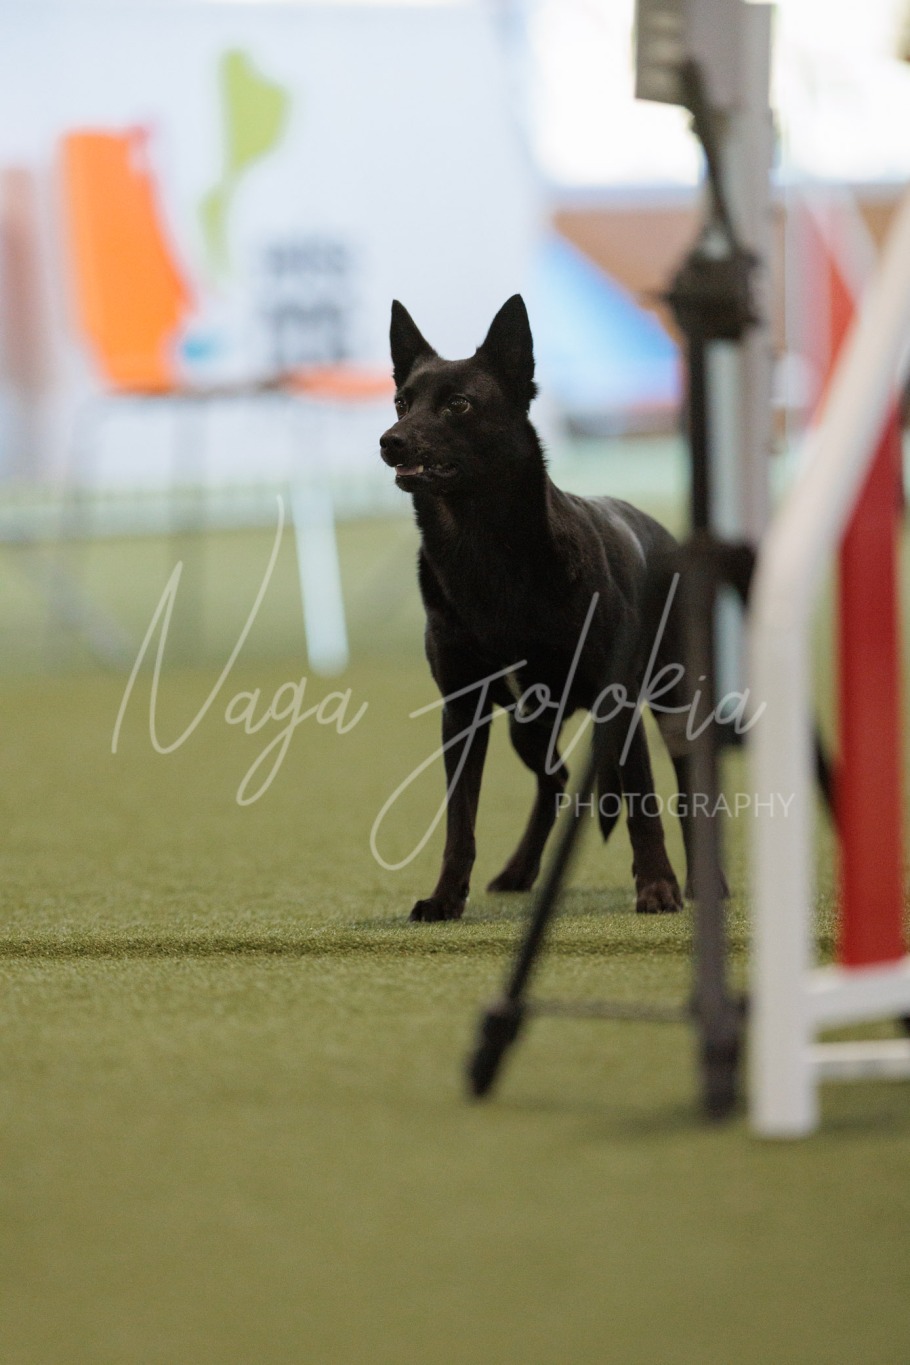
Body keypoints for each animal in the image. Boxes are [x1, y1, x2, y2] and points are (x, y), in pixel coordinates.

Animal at [380, 294, 700, 923]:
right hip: (527, 726)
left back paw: (706, 880)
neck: (483, 552)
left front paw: (657, 887)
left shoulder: (617, 701)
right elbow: (460, 822)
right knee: (556, 781)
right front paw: (446, 897)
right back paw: (521, 871)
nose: (390, 440)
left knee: (686, 793)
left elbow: (644, 802)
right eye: (403, 402)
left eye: (458, 404)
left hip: (671, 705)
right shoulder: (463, 712)